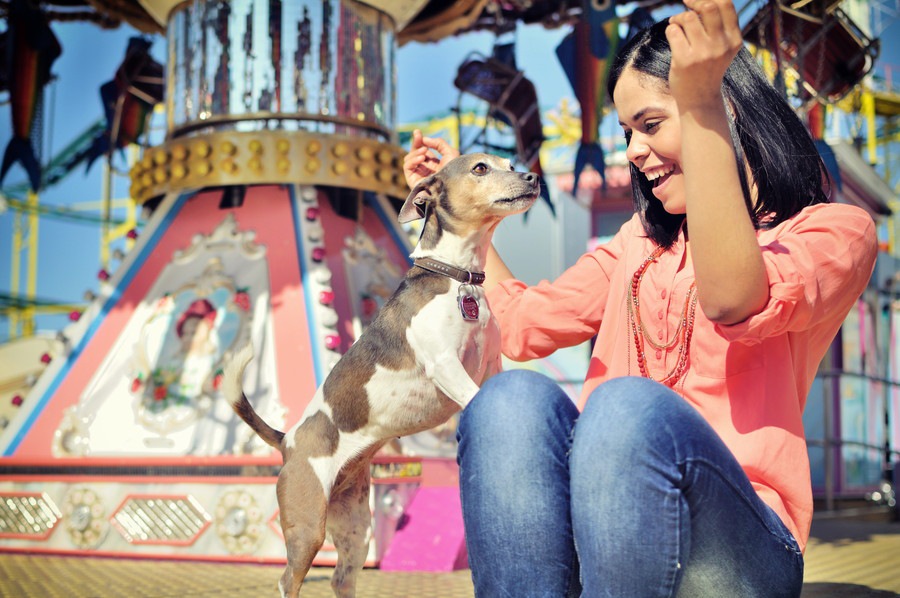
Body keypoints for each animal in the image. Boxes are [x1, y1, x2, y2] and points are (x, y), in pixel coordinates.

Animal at [223, 155, 540, 598]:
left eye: (508, 165)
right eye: (480, 168)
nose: (532, 177)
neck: (457, 278)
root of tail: (287, 442)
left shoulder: (490, 366)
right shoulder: (446, 365)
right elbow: (473, 395)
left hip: (357, 529)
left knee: (340, 578)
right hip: (308, 528)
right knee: (287, 581)